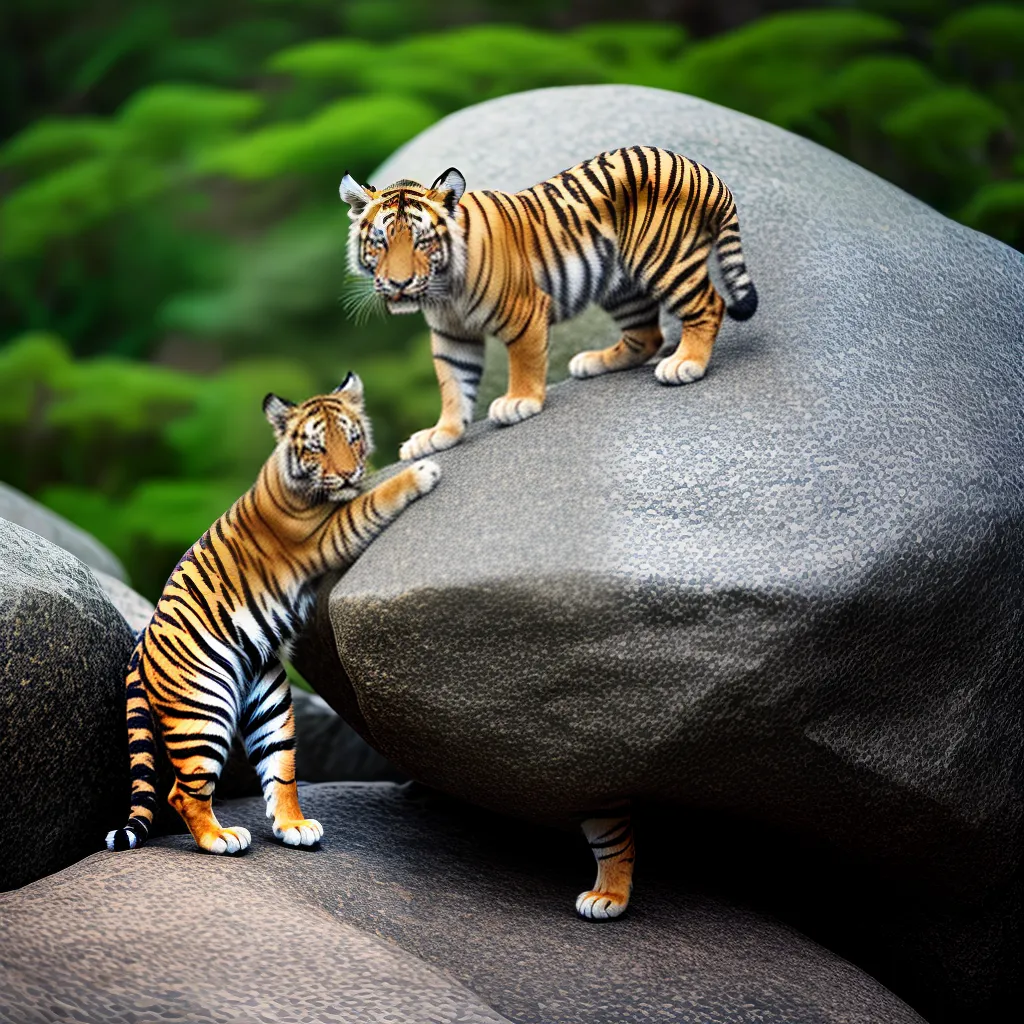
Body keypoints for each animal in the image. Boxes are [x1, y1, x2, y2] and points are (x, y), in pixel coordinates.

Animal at [105, 375, 441, 856]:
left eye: (352, 438)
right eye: (317, 448)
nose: (347, 473)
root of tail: (138, 646)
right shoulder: (325, 535)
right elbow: (372, 501)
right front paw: (422, 471)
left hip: (270, 702)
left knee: (281, 772)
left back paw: (294, 827)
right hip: (203, 711)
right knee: (183, 792)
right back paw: (220, 838)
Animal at [340, 144, 757, 461]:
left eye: (422, 242)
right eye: (380, 242)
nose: (399, 284)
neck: (444, 292)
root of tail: (697, 167)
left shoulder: (522, 312)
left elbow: (524, 361)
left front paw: (519, 402)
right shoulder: (452, 336)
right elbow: (454, 384)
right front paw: (440, 434)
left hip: (663, 259)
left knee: (708, 305)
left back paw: (686, 364)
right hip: (621, 286)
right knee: (646, 335)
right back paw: (593, 362)